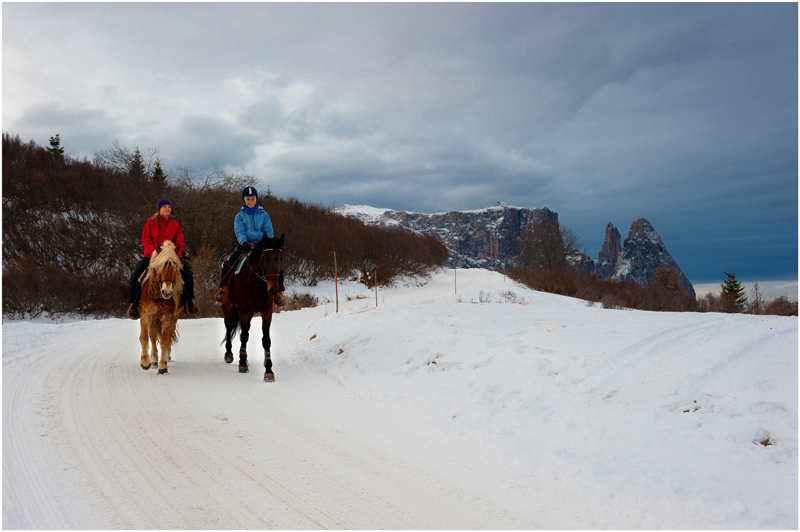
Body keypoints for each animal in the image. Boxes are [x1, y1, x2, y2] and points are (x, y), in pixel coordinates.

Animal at [141, 241, 186, 374]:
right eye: (159, 265)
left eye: (175, 266)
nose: (167, 292)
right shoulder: (145, 315)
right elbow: (145, 338)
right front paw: (145, 362)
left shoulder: (168, 317)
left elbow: (165, 341)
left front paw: (162, 366)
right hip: (153, 318)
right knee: (153, 337)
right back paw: (153, 361)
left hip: (173, 318)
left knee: (167, 336)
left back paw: (165, 357)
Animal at [223, 235, 286, 380]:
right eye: (266, 258)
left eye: (281, 259)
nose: (274, 290)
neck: (255, 284)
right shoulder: (242, 309)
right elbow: (244, 336)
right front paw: (242, 364)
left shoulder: (267, 311)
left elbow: (266, 340)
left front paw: (268, 370)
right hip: (227, 304)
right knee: (229, 327)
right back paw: (229, 354)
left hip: (251, 313)